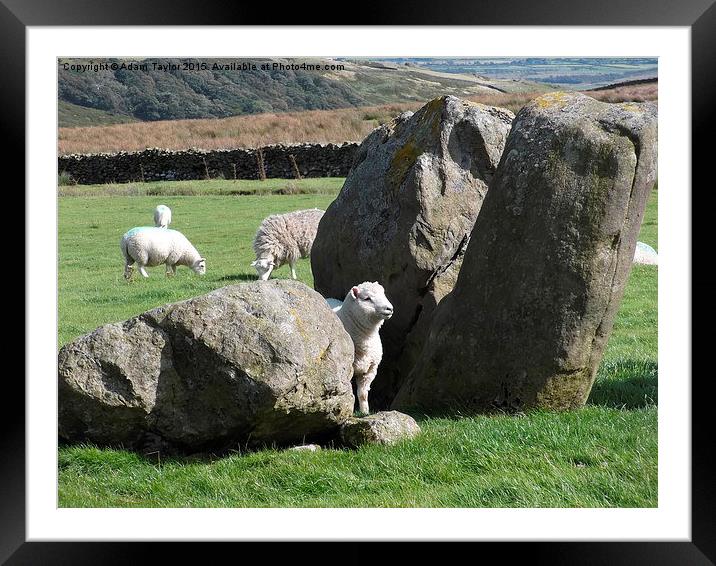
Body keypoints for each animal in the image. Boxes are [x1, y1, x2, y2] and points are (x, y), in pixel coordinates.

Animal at [328, 282, 392, 412]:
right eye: (367, 298)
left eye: (383, 294)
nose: (390, 308)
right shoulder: (347, 369)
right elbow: (349, 393)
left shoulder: (370, 370)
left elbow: (363, 394)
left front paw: (365, 412)